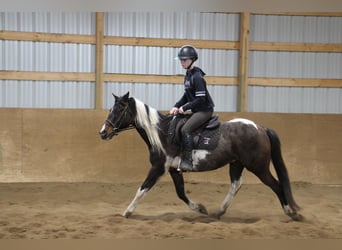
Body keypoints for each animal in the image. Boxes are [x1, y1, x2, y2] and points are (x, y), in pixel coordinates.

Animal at [99, 92, 302, 221]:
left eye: (119, 110)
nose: (103, 132)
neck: (161, 133)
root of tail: (260, 128)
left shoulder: (158, 168)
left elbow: (142, 189)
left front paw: (127, 212)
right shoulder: (173, 170)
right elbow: (180, 193)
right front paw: (200, 209)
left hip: (258, 167)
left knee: (277, 185)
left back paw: (292, 213)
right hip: (237, 163)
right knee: (236, 185)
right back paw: (218, 212)